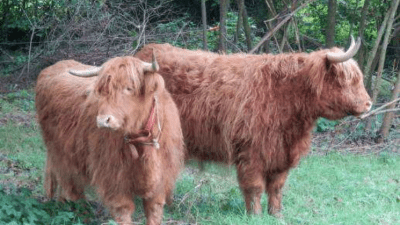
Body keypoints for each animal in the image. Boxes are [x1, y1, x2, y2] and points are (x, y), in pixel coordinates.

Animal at [35, 55, 185, 225]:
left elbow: (153, 212)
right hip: (60, 154)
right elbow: (123, 211)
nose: (102, 120)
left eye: (129, 88)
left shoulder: (161, 179)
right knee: (71, 187)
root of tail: (54, 66)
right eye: (103, 91)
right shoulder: (113, 179)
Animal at [135, 37, 372, 217]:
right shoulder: (251, 152)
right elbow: (255, 187)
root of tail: (141, 55)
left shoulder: (281, 154)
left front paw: (276, 214)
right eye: (345, 81)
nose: (369, 104)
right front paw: (255, 214)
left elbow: (276, 188)